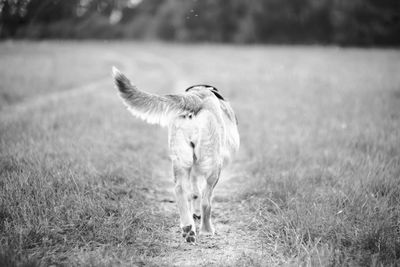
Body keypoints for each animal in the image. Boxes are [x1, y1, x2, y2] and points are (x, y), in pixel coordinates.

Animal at [111, 68, 239, 244]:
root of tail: (195, 98)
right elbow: (199, 195)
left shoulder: (193, 171)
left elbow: (193, 194)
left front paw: (193, 214)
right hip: (214, 166)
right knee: (206, 200)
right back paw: (206, 229)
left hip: (180, 160)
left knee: (180, 190)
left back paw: (188, 227)